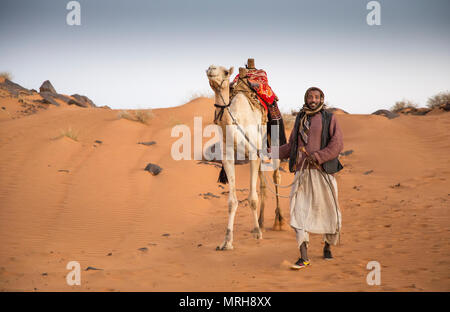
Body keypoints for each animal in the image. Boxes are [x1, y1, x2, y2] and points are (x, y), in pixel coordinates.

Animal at [205, 64, 284, 250]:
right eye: (208, 69)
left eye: (226, 72)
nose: (211, 68)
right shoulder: (228, 158)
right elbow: (232, 202)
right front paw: (227, 241)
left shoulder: (253, 155)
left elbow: (252, 198)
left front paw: (256, 233)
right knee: (263, 183)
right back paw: (261, 222)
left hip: (274, 143)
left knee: (276, 176)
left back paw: (278, 221)